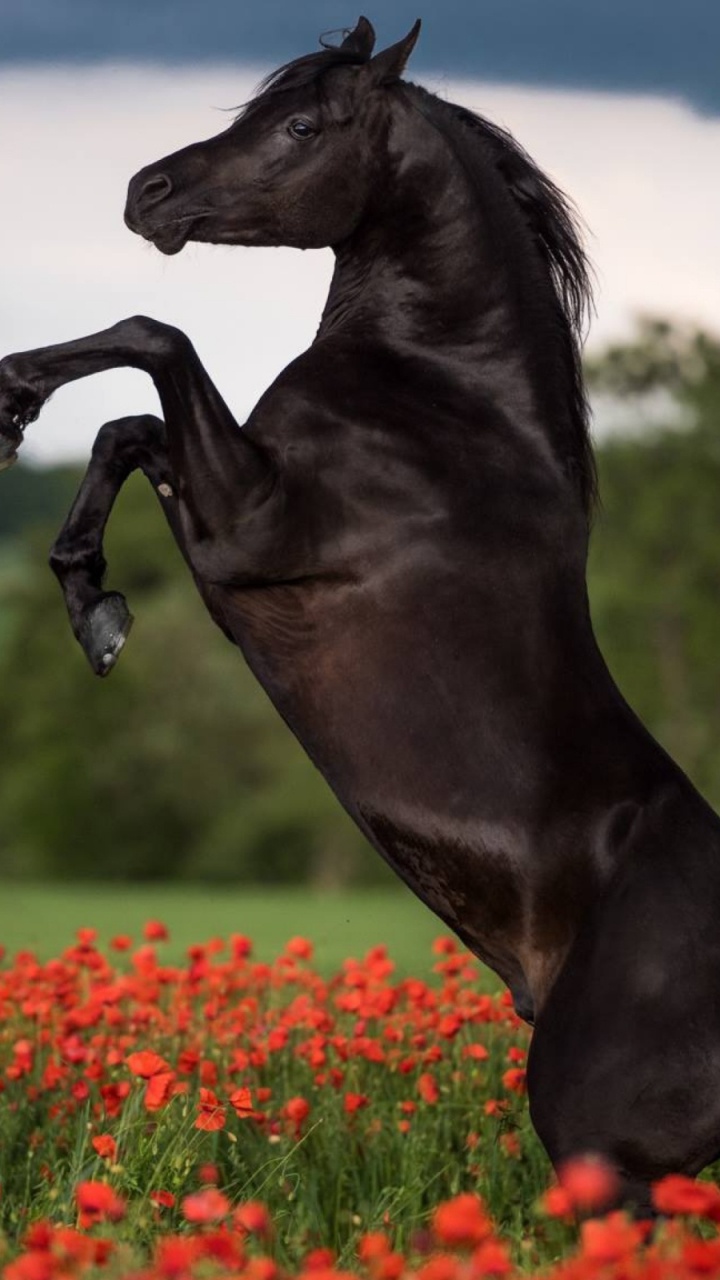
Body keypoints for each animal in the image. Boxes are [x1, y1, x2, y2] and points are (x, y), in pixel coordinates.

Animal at [2, 15, 720, 1214]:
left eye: (300, 125)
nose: (148, 193)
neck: (442, 395)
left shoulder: (246, 528)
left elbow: (155, 341)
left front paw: (14, 392)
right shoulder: (223, 495)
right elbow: (127, 430)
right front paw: (93, 604)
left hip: (600, 1153)